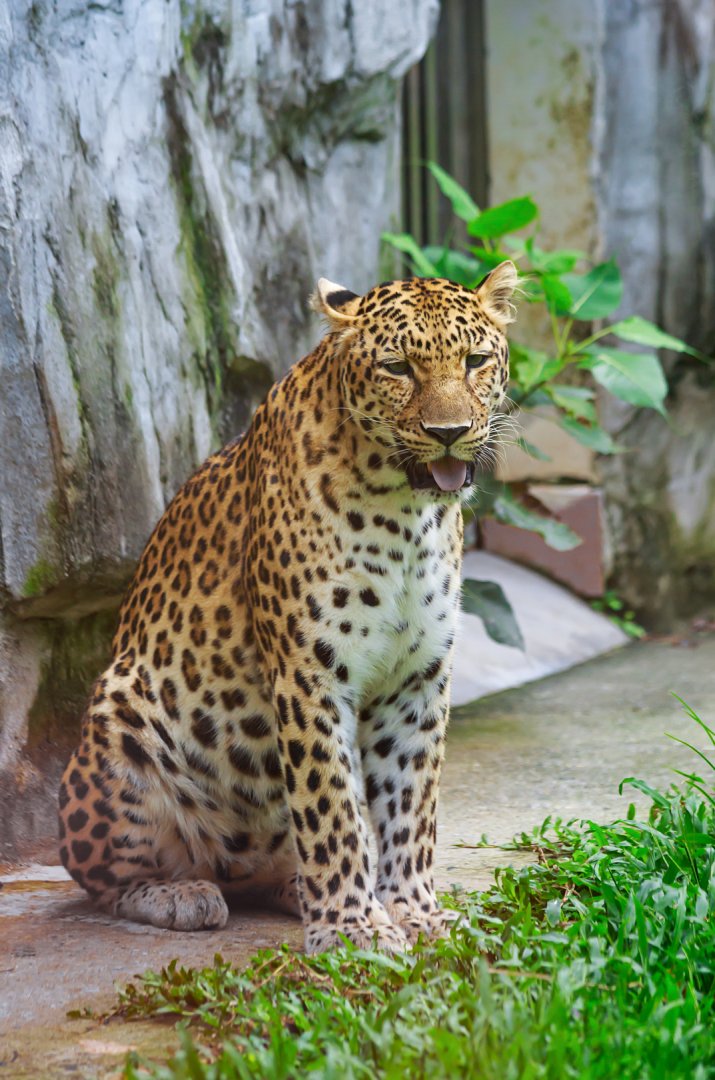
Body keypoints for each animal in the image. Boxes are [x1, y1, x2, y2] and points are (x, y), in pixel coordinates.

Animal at [58, 260, 518, 954]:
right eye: (398, 369)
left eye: (476, 361)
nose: (449, 434)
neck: (407, 515)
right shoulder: (310, 671)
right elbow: (331, 806)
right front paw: (354, 927)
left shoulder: (418, 676)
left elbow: (408, 804)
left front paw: (413, 912)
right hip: (120, 720)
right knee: (109, 880)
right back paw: (182, 894)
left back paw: (302, 887)